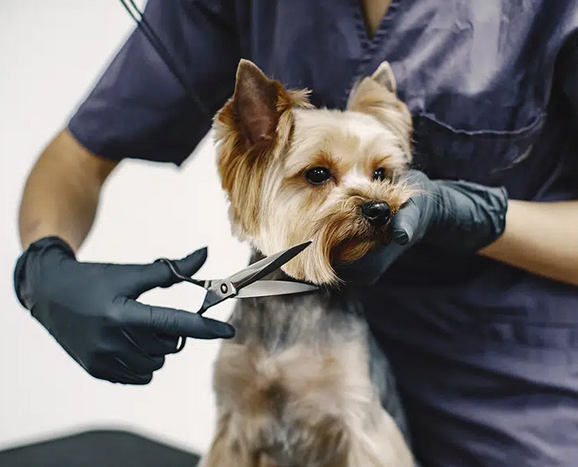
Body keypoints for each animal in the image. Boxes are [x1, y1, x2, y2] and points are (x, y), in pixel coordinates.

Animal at [200, 59, 416, 467]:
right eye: (317, 173)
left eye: (380, 173)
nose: (380, 208)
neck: (290, 297)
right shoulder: (235, 423)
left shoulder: (361, 422)